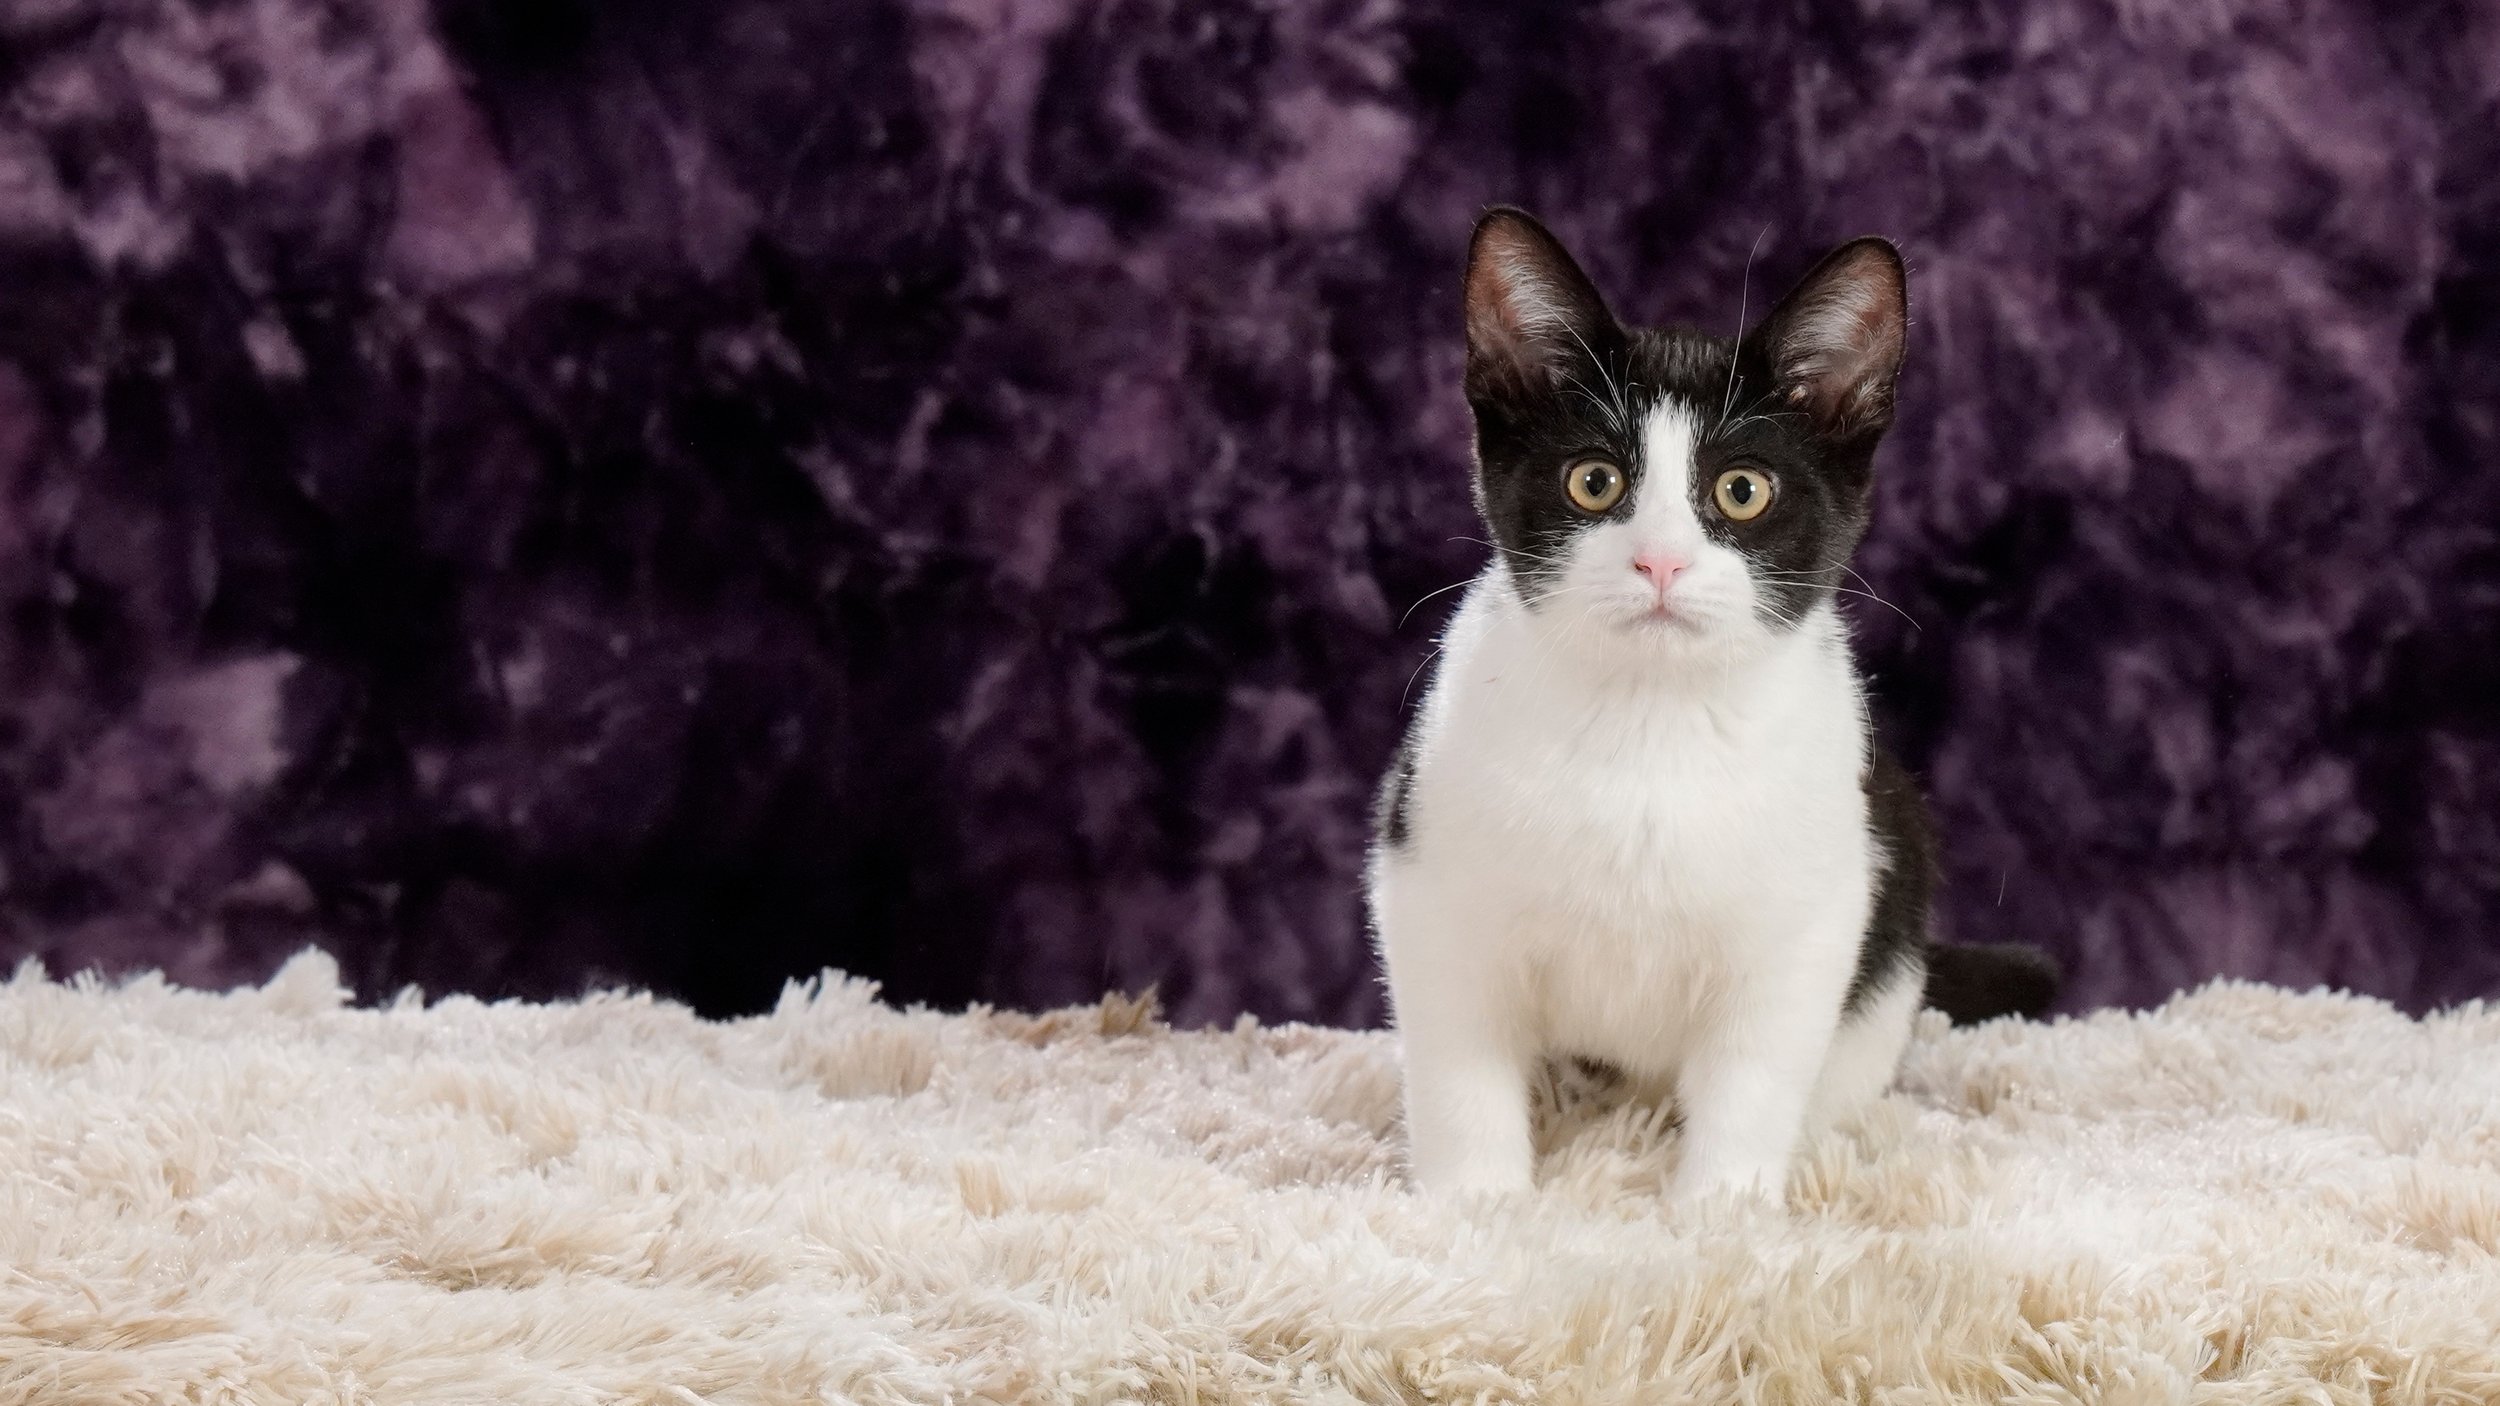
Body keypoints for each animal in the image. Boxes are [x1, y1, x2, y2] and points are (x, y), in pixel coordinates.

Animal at [1369, 208, 2058, 1203]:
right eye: (1594, 481)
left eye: (1742, 490)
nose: (1660, 560)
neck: (1651, 724)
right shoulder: (1428, 879)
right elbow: (1461, 1065)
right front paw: (1480, 1204)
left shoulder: (1811, 917)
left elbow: (1753, 1073)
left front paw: (1719, 1212)